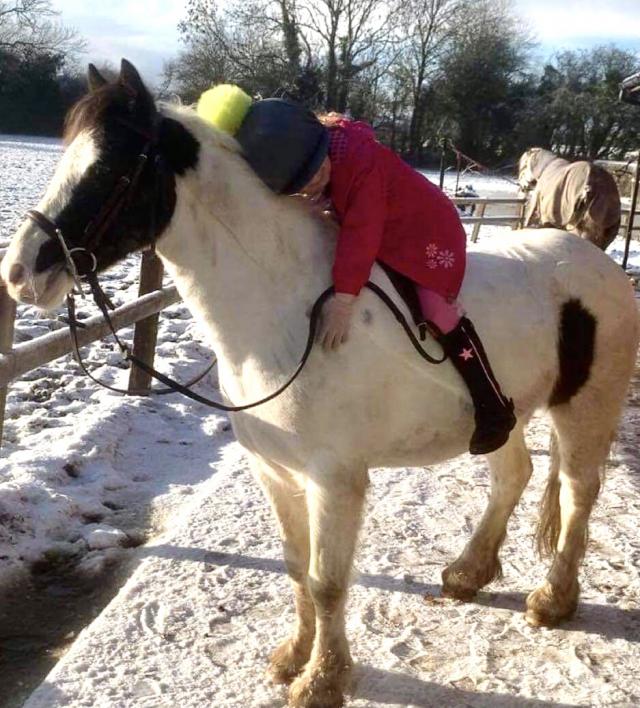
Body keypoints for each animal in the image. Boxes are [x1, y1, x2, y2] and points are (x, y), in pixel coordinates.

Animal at [2, 61, 638, 708]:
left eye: (111, 168)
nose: (19, 273)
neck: (286, 310)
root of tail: (593, 260)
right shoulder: (276, 472)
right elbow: (294, 565)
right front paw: (293, 656)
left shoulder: (335, 479)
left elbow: (327, 580)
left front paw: (323, 679)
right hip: (500, 418)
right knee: (514, 475)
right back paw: (468, 573)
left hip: (585, 409)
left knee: (578, 491)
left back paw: (553, 599)